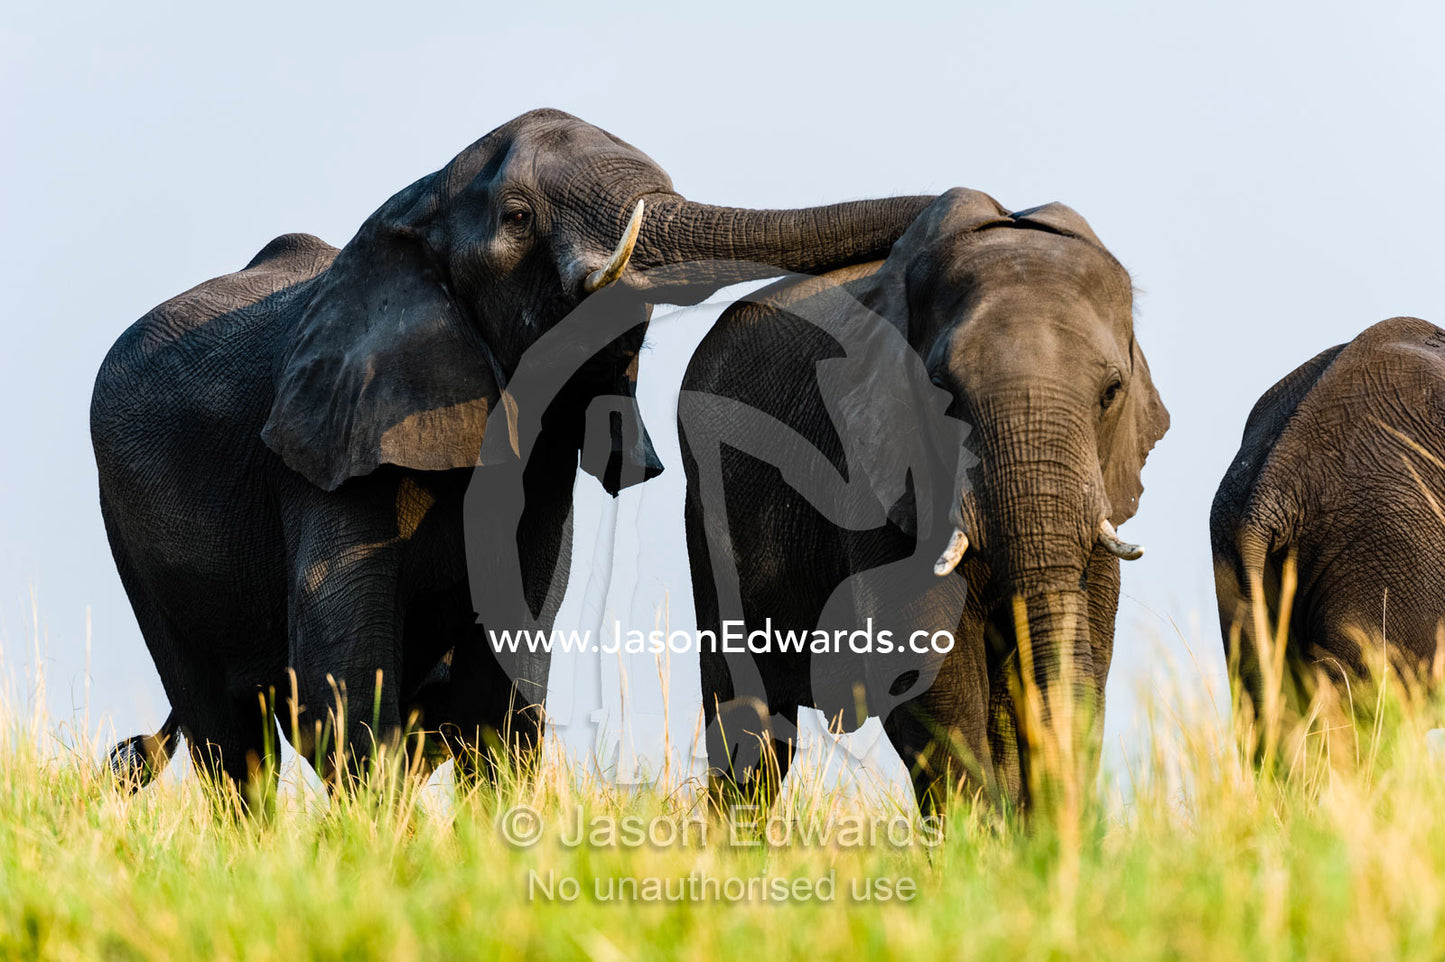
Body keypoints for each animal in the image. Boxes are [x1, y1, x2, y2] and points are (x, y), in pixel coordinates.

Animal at [92, 107, 934, 792]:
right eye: (519, 215)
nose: (957, 206)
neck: (413, 206)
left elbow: (513, 640)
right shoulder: (324, 447)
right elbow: (343, 667)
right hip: (128, 534)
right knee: (227, 740)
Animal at [679, 188, 1169, 810]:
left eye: (1111, 391)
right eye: (942, 392)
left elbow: (1086, 659)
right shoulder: (874, 472)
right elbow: (928, 677)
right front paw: (976, 833)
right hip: (709, 504)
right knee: (752, 727)